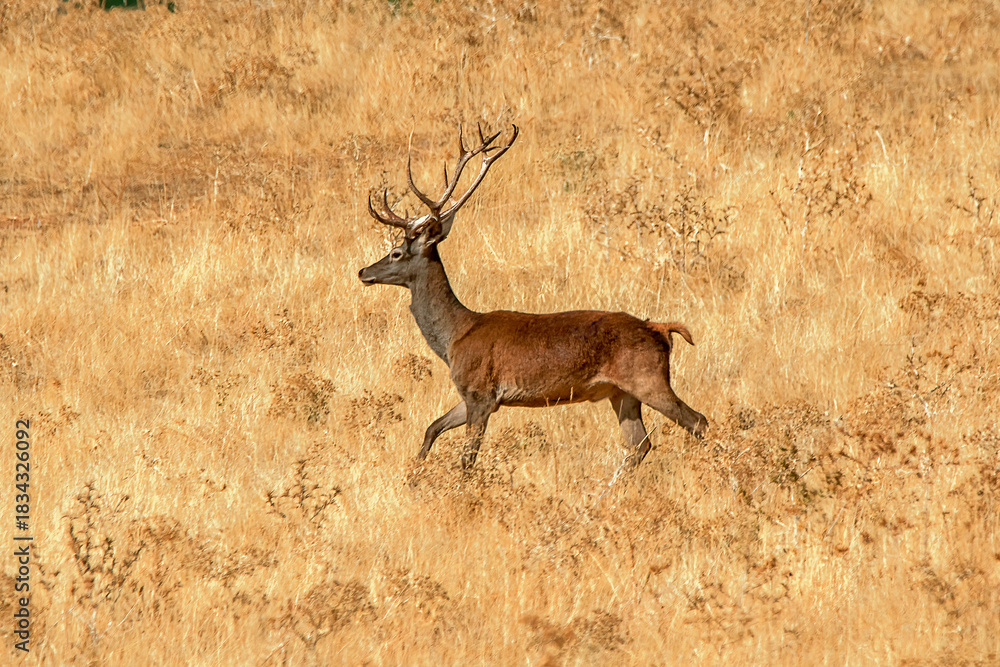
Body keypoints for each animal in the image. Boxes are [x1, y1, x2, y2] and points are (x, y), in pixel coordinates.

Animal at [358, 124, 708, 472]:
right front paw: (415, 475)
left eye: (396, 252)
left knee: (697, 421)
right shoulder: (471, 396)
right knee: (640, 445)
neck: (453, 336)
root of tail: (660, 330)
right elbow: (432, 428)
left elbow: (467, 460)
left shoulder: (481, 392)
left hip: (648, 378)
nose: (363, 271)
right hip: (621, 392)